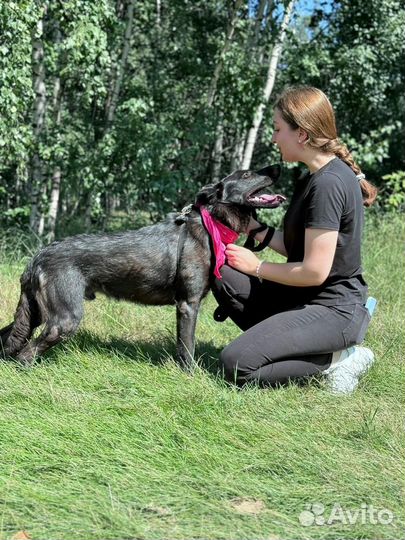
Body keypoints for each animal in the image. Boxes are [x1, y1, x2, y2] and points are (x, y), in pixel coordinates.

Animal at [0, 166, 282, 368]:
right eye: (247, 174)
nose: (277, 167)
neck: (209, 224)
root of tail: (38, 256)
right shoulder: (188, 305)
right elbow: (187, 349)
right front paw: (191, 377)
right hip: (64, 320)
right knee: (25, 354)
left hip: (36, 313)